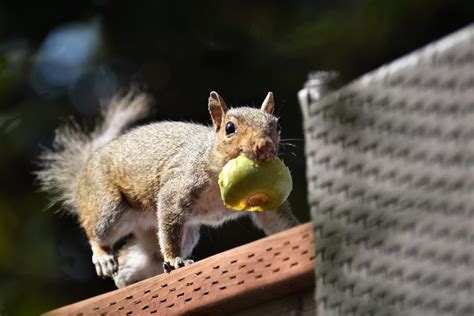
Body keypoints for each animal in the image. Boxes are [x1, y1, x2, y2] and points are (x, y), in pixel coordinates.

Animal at [37, 90, 298, 288]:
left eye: (277, 127)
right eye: (230, 128)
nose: (264, 147)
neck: (216, 165)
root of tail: (82, 176)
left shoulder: (262, 202)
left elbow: (276, 220)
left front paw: (296, 230)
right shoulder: (180, 185)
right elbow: (170, 209)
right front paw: (174, 260)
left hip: (174, 234)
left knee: (142, 257)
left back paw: (126, 279)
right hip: (108, 207)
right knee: (97, 233)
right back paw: (103, 256)